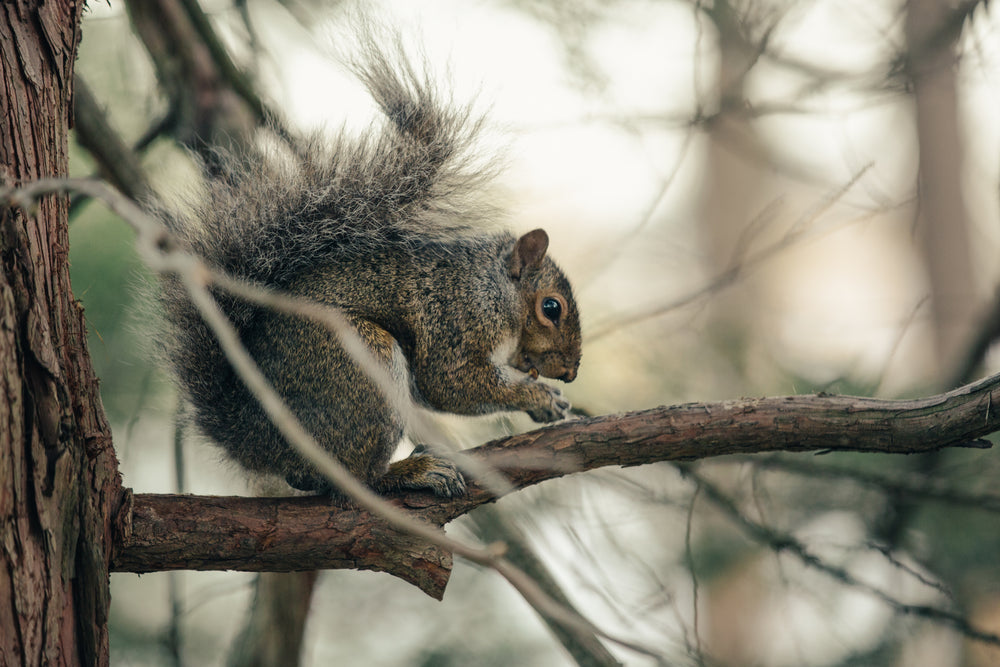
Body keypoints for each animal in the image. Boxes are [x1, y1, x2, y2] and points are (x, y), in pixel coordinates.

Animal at [155, 40, 582, 498]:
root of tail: (256, 439)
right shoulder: (457, 318)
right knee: (359, 476)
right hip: (359, 363)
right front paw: (539, 397)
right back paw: (412, 471)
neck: (492, 288)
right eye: (551, 308)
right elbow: (449, 382)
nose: (571, 373)